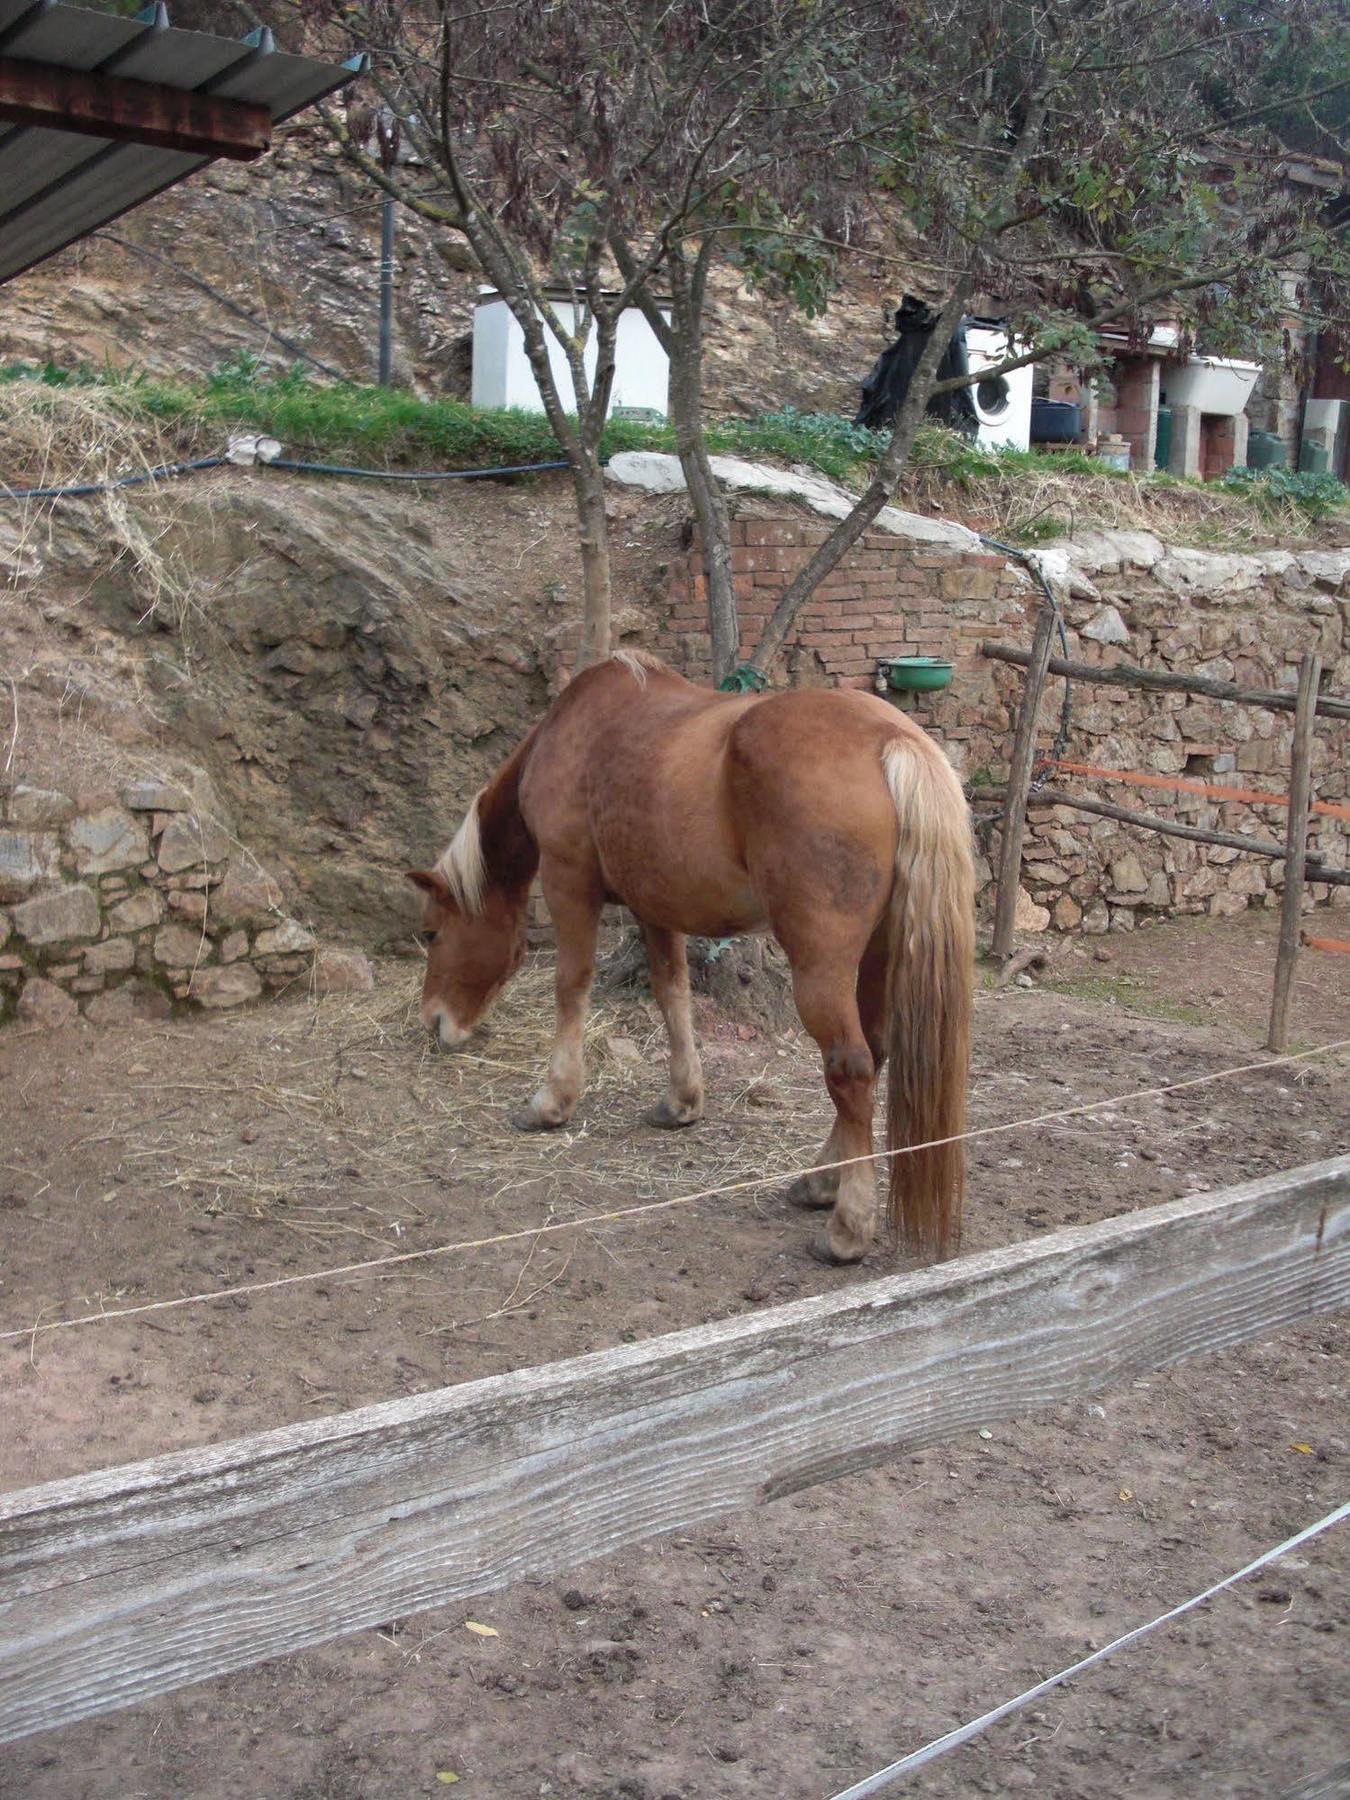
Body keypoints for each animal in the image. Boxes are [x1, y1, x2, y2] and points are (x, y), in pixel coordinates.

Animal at [406, 651, 979, 1267]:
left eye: (432, 933)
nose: (432, 1021)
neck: (575, 734)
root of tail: (892, 738)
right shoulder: (654, 905)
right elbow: (672, 991)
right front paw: (681, 1102)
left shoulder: (568, 883)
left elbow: (571, 986)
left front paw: (552, 1100)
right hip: (879, 954)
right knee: (873, 1053)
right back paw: (821, 1181)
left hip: (821, 968)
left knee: (849, 1068)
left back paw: (847, 1226)